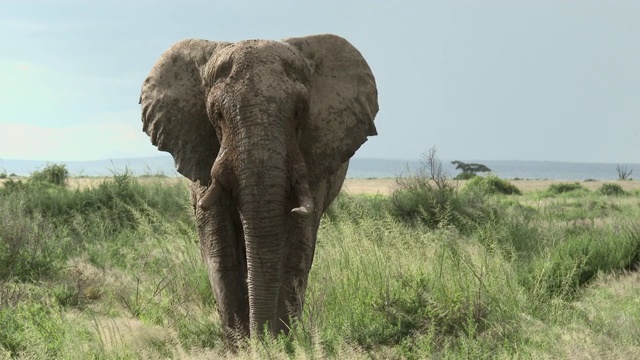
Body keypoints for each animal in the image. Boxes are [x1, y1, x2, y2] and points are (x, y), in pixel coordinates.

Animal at [139, 33, 378, 338]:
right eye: (217, 115)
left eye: (299, 113)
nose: (261, 337)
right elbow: (220, 248)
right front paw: (243, 342)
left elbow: (296, 248)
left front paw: (281, 341)